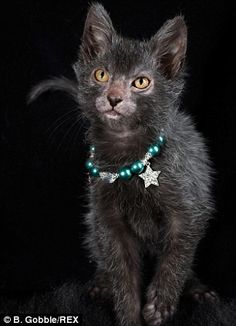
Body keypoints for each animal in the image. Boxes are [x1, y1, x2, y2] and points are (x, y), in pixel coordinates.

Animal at [30, 3, 218, 326]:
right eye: (101, 74)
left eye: (141, 82)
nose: (114, 98)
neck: (127, 157)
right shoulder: (109, 222)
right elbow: (122, 275)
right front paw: (129, 314)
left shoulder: (190, 209)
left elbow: (178, 256)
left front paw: (160, 304)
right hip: (92, 223)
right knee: (102, 258)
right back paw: (101, 284)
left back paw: (197, 290)